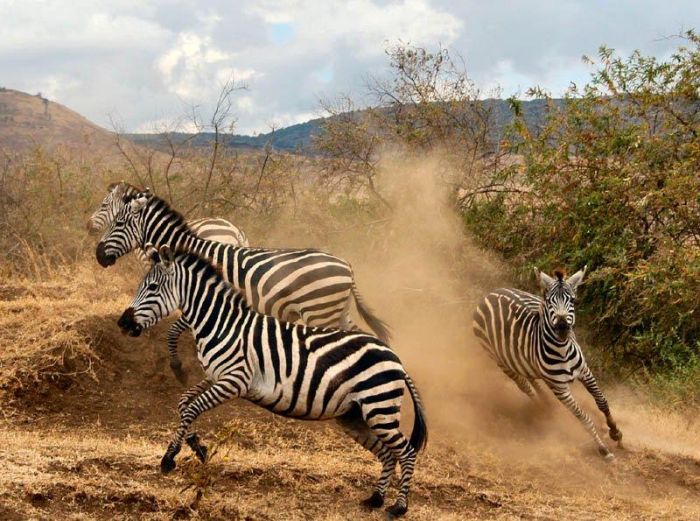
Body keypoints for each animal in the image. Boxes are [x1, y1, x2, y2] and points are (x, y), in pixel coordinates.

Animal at [117, 247, 426, 516]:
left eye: (152, 288)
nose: (123, 323)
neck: (221, 325)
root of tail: (396, 359)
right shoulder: (215, 376)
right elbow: (183, 404)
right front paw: (198, 446)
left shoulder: (235, 379)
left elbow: (192, 409)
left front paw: (169, 458)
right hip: (355, 415)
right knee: (387, 454)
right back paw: (375, 499)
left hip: (378, 408)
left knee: (407, 451)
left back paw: (398, 507)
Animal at [470, 268, 624, 460]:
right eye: (550, 301)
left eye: (573, 300)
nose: (563, 328)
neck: (563, 350)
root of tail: (489, 294)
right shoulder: (561, 389)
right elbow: (583, 417)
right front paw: (603, 449)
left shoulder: (585, 372)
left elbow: (602, 401)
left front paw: (615, 432)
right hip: (501, 361)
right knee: (524, 386)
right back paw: (542, 409)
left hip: (523, 361)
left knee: (531, 378)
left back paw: (546, 404)